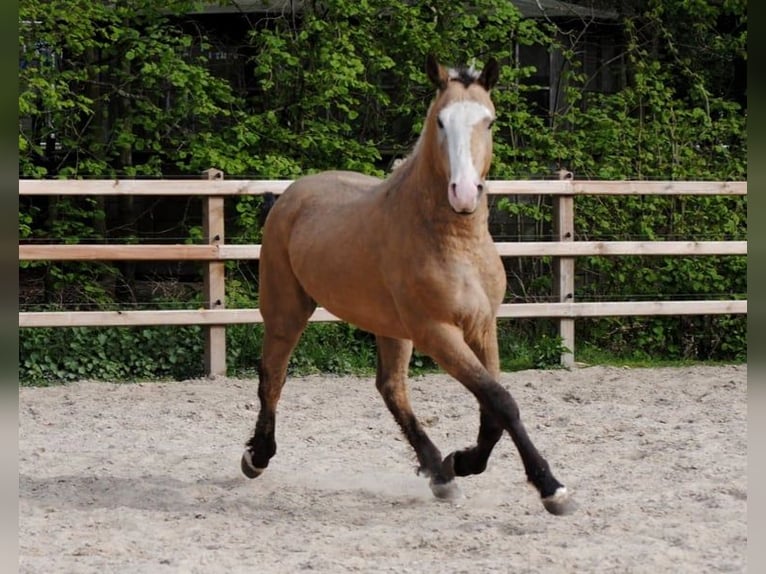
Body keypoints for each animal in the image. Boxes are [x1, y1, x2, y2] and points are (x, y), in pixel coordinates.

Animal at [241, 55, 575, 516]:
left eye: (488, 121)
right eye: (440, 121)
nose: (464, 193)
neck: (455, 242)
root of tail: (289, 196)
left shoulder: (482, 326)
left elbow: (492, 406)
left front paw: (462, 462)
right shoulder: (437, 332)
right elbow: (501, 401)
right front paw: (550, 487)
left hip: (389, 327)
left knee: (391, 388)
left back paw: (440, 474)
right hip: (286, 310)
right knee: (273, 376)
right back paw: (257, 456)